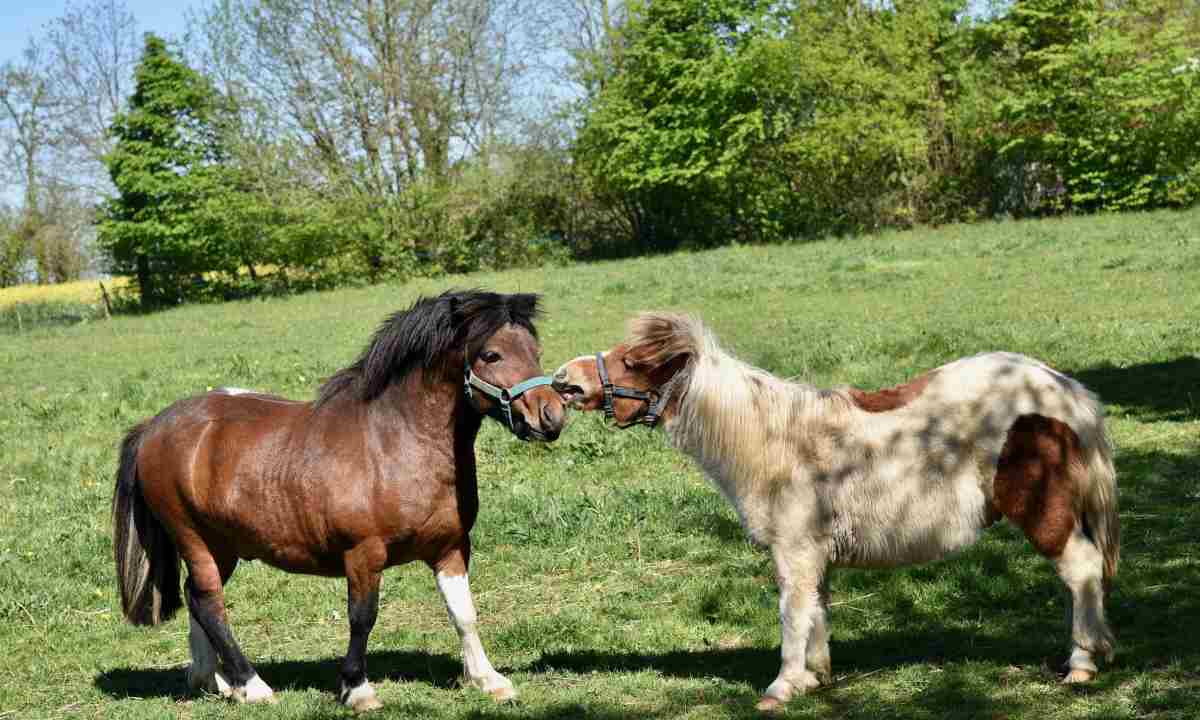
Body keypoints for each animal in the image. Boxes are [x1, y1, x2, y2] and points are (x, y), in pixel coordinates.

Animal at [112, 291, 561, 710]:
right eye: (491, 354)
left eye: (535, 351)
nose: (551, 417)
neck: (394, 442)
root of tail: (154, 426)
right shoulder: (363, 553)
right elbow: (362, 618)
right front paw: (358, 689)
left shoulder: (450, 547)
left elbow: (463, 612)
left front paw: (488, 680)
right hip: (193, 539)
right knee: (208, 603)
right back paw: (252, 686)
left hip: (222, 546)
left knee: (197, 599)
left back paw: (215, 682)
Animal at [552, 312, 1113, 710]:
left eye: (634, 361)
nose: (564, 380)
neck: (773, 441)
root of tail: (1063, 390)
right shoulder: (814, 555)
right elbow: (816, 610)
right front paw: (815, 678)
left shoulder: (794, 551)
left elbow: (791, 614)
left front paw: (782, 687)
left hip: (1044, 514)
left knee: (1081, 571)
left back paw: (1083, 663)